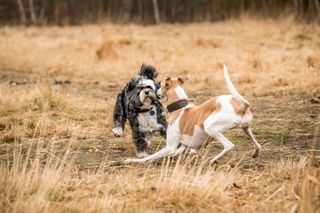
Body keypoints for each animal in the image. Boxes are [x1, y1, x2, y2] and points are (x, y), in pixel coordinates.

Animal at [125, 65, 260, 163]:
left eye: (161, 85)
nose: (156, 92)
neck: (179, 108)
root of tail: (242, 106)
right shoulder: (183, 147)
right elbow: (179, 152)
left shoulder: (170, 147)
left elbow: (149, 157)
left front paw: (132, 160)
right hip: (246, 128)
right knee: (257, 145)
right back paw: (255, 153)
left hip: (209, 126)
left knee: (229, 146)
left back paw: (213, 160)